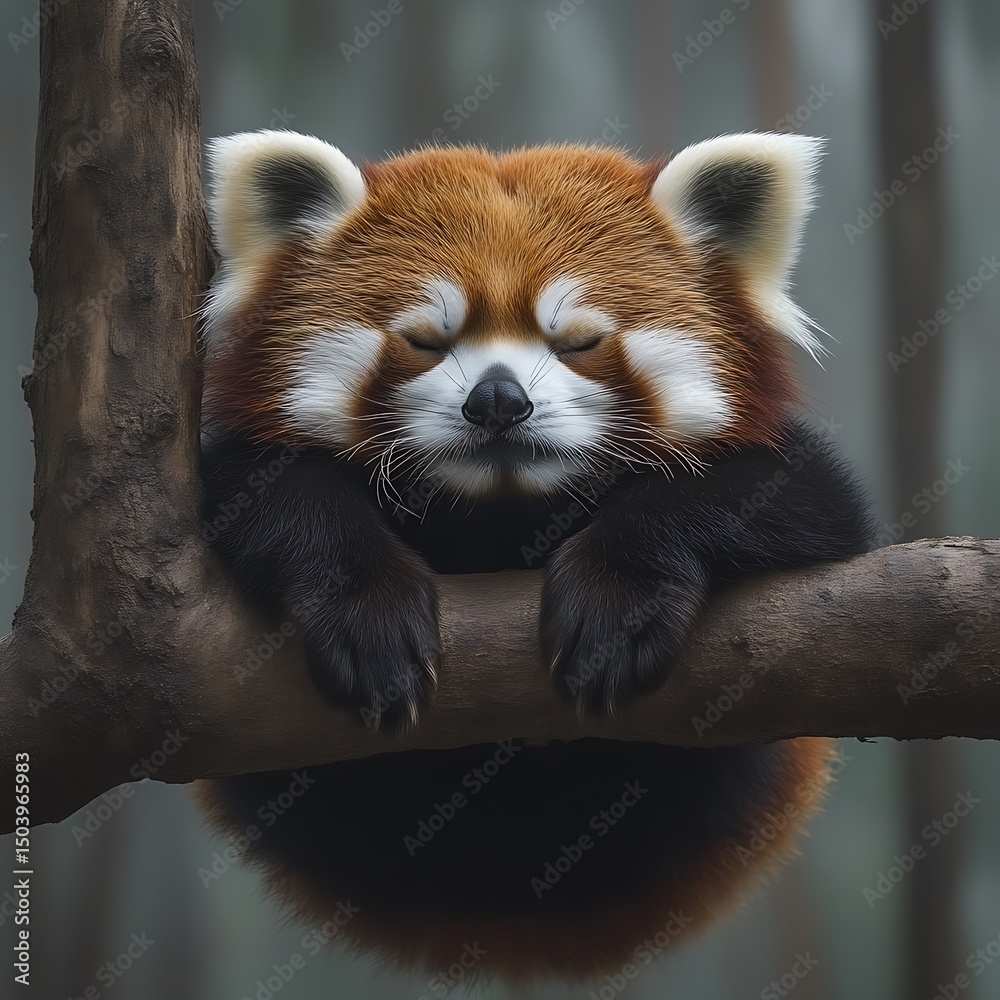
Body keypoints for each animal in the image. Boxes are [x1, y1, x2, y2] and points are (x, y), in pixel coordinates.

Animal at [196, 129, 871, 982]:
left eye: (578, 341)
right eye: (425, 339)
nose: (496, 400)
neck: (500, 514)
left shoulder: (811, 495)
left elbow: (787, 500)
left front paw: (616, 609)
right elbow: (272, 493)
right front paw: (367, 621)